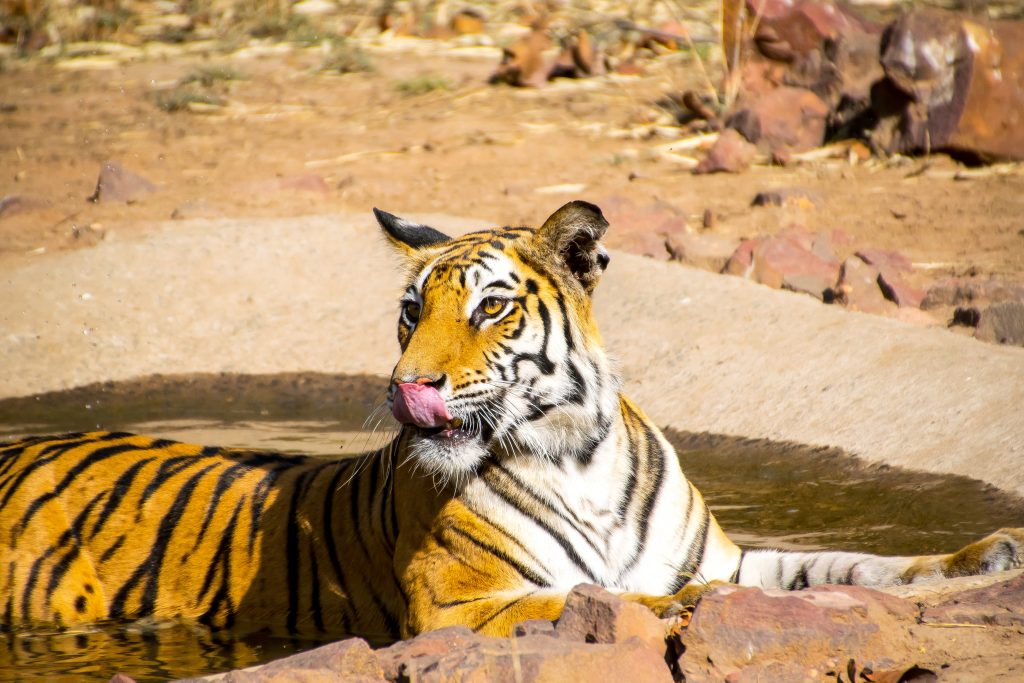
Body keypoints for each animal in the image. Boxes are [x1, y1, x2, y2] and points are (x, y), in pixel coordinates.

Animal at [1, 200, 1022, 642]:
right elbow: (595, 596)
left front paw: (984, 554)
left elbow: (847, 567)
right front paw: (674, 608)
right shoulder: (456, 604)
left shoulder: (729, 558)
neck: (578, 453)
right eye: (410, 311)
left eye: (489, 308)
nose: (406, 384)